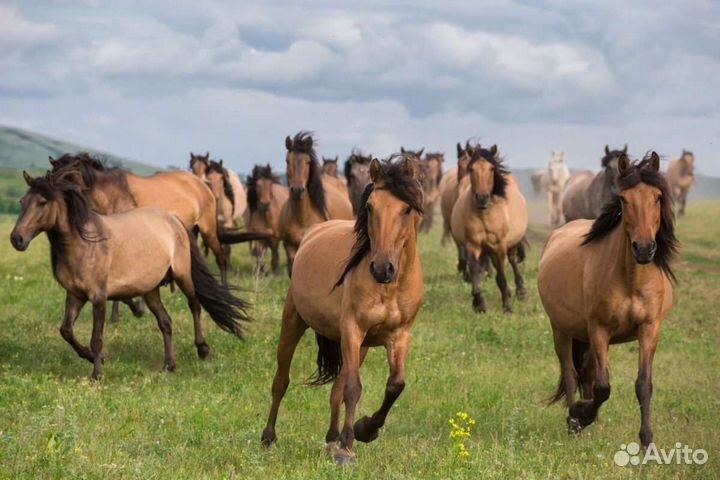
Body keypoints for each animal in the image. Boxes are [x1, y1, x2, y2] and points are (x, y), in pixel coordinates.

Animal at [10, 169, 253, 379]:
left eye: (42, 202)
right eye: (22, 202)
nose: (16, 239)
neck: (84, 244)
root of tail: (174, 219)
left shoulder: (99, 297)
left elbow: (96, 338)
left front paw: (97, 373)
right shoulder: (75, 296)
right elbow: (66, 331)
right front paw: (92, 358)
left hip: (183, 275)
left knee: (194, 305)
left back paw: (202, 349)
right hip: (151, 290)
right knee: (165, 321)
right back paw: (169, 365)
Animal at [261, 156, 424, 465]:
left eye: (406, 209)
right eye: (370, 206)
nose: (382, 268)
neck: (389, 288)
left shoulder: (399, 335)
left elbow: (395, 384)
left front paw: (365, 430)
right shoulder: (352, 330)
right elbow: (353, 388)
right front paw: (349, 447)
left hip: (360, 347)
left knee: (336, 387)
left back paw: (331, 440)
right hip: (294, 322)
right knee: (281, 380)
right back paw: (268, 437)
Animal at [450, 145, 529, 313]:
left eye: (492, 168)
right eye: (472, 168)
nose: (482, 198)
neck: (484, 214)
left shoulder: (499, 246)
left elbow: (501, 275)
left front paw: (507, 306)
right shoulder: (473, 244)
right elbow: (474, 269)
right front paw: (479, 303)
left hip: (511, 244)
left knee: (513, 261)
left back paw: (521, 292)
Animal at [538, 152, 677, 447]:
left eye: (658, 197)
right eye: (623, 200)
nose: (644, 249)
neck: (631, 279)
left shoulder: (649, 329)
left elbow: (643, 385)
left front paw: (647, 442)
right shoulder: (599, 330)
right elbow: (603, 387)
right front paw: (580, 414)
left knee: (587, 372)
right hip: (562, 330)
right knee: (571, 374)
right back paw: (574, 420)